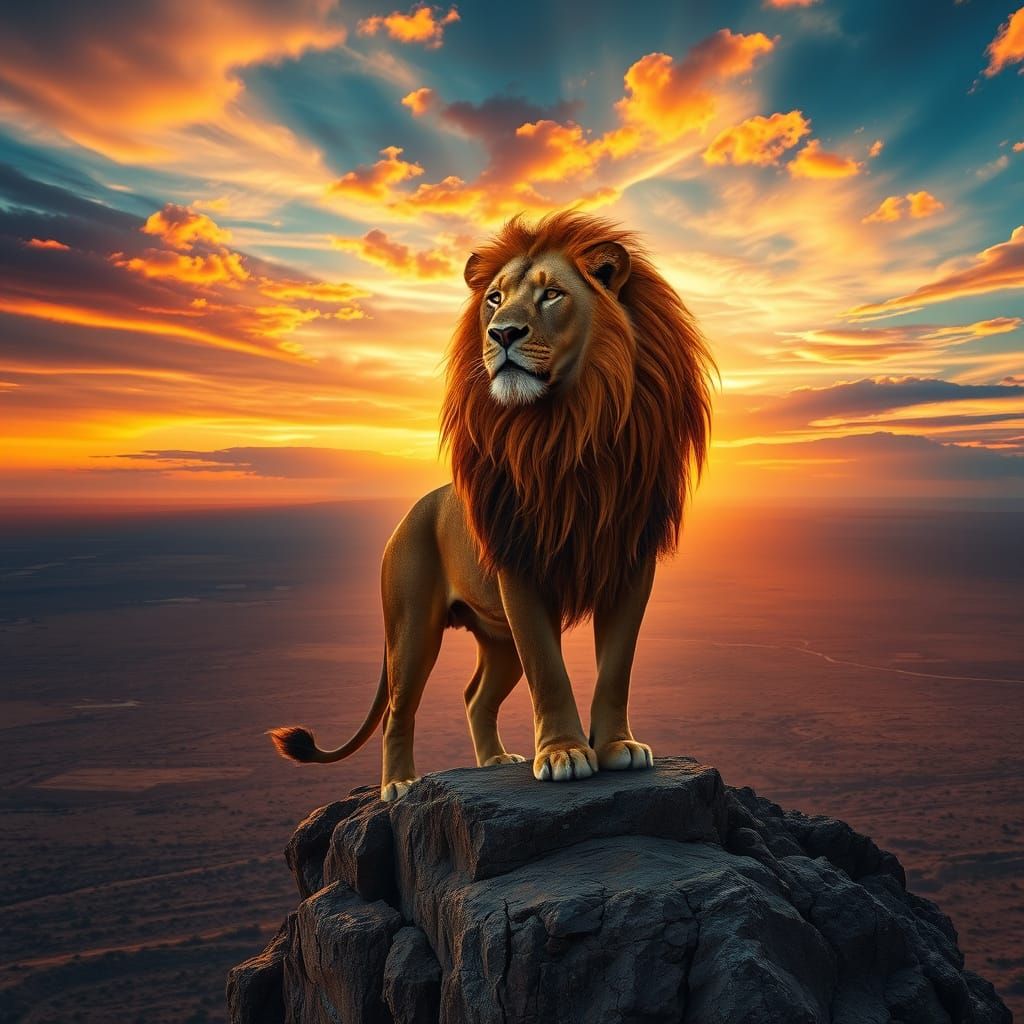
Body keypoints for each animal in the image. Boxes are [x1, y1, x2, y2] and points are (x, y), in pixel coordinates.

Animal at [270, 210, 715, 801]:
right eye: (495, 299)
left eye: (552, 294)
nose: (501, 333)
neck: (567, 430)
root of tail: (414, 510)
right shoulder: (519, 567)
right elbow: (548, 669)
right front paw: (565, 754)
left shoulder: (630, 564)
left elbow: (617, 665)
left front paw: (618, 747)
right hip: (412, 626)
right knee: (397, 709)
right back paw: (399, 785)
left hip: (497, 638)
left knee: (475, 695)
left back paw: (495, 760)